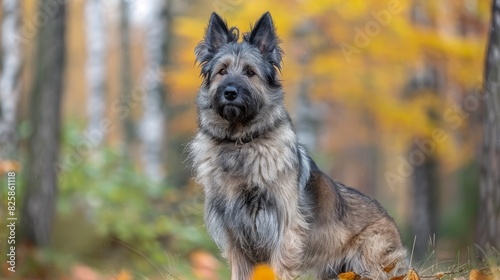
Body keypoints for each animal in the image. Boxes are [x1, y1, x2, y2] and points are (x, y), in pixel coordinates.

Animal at [189, 11, 408, 280]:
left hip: (370, 260)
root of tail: (391, 222)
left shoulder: (284, 232)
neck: (241, 142)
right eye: (222, 71)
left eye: (250, 72)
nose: (230, 92)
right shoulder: (235, 237)